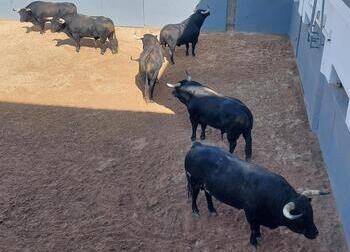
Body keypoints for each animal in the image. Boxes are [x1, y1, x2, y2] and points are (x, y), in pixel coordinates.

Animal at [185, 143, 330, 249]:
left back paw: (212, 210)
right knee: (194, 196)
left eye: (311, 213)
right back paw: (195, 211)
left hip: (206, 186)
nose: (316, 233)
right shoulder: (249, 214)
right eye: (301, 218)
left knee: (208, 195)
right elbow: (254, 229)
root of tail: (197, 146)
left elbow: (257, 228)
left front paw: (259, 236)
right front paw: (254, 242)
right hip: (194, 182)